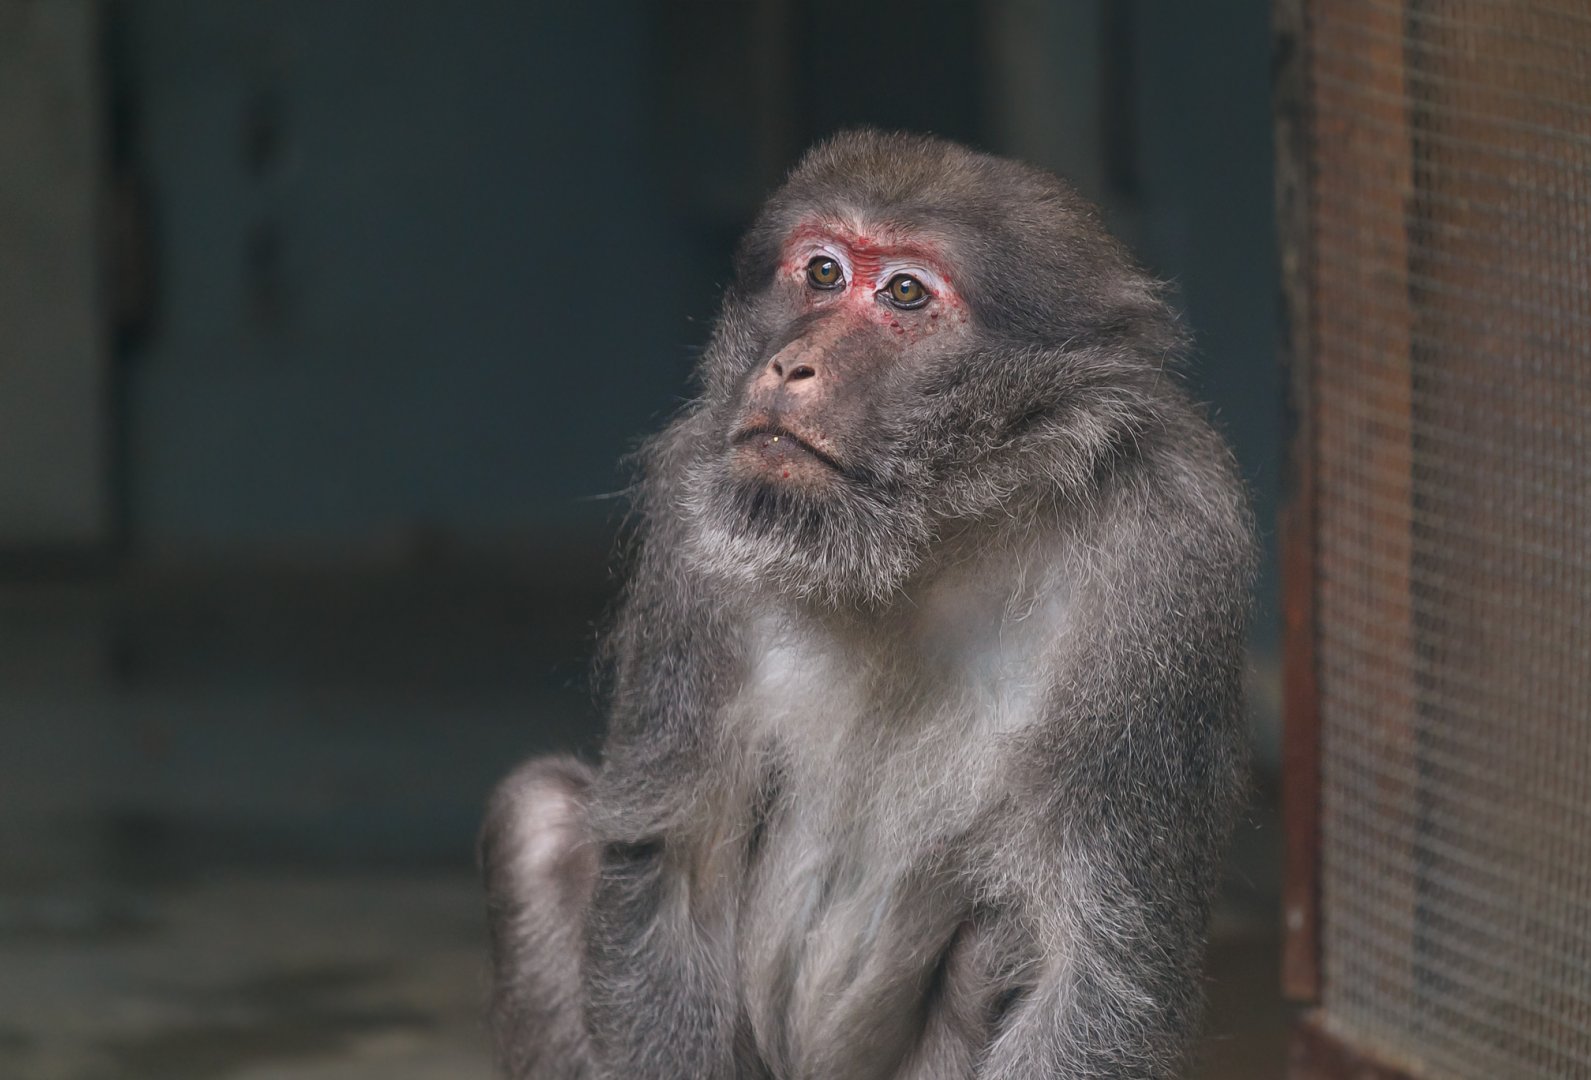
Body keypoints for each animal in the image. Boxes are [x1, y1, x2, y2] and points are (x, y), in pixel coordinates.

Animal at [481, 130, 1254, 1080]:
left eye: (904, 293)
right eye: (821, 271)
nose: (789, 365)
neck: (932, 534)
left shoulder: (1169, 562)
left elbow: (1096, 976)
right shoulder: (695, 508)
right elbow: (672, 869)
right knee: (539, 819)